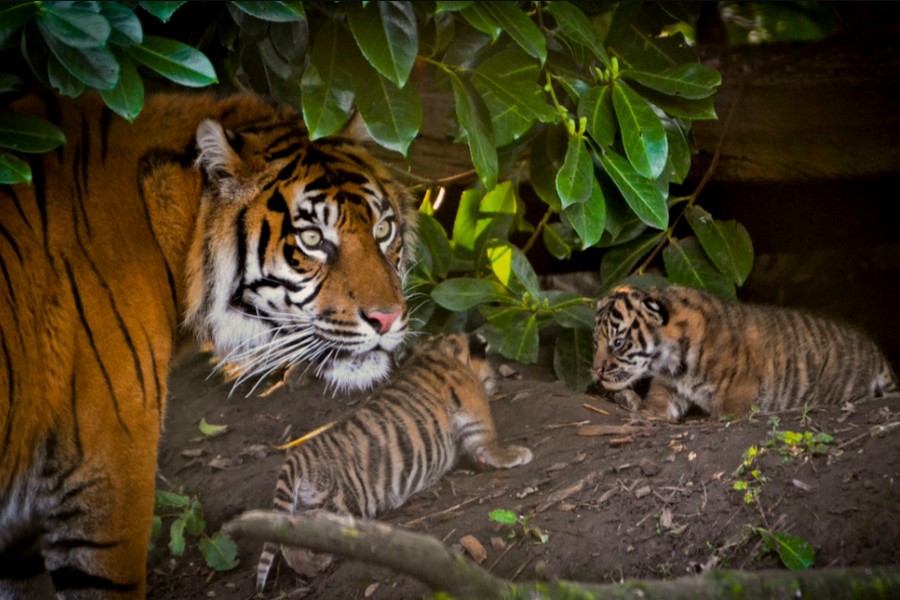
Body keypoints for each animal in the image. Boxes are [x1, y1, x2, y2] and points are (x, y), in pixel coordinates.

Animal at [255, 333, 533, 592]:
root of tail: (295, 459)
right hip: (342, 501)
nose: (496, 383)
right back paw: (316, 564)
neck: (436, 352)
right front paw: (517, 455)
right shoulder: (475, 411)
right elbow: (489, 442)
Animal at [593, 284, 898, 421]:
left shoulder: (740, 392)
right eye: (596, 342)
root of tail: (875, 349)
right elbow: (656, 405)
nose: (596, 370)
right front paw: (638, 407)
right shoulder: (669, 387)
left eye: (617, 342)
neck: (671, 362)